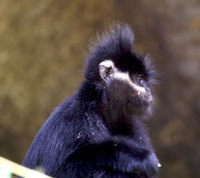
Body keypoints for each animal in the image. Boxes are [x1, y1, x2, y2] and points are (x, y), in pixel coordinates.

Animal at [22, 24, 159, 178]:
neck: (105, 110)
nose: (148, 90)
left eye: (144, 80)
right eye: (140, 78)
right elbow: (62, 170)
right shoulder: (77, 115)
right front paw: (133, 155)